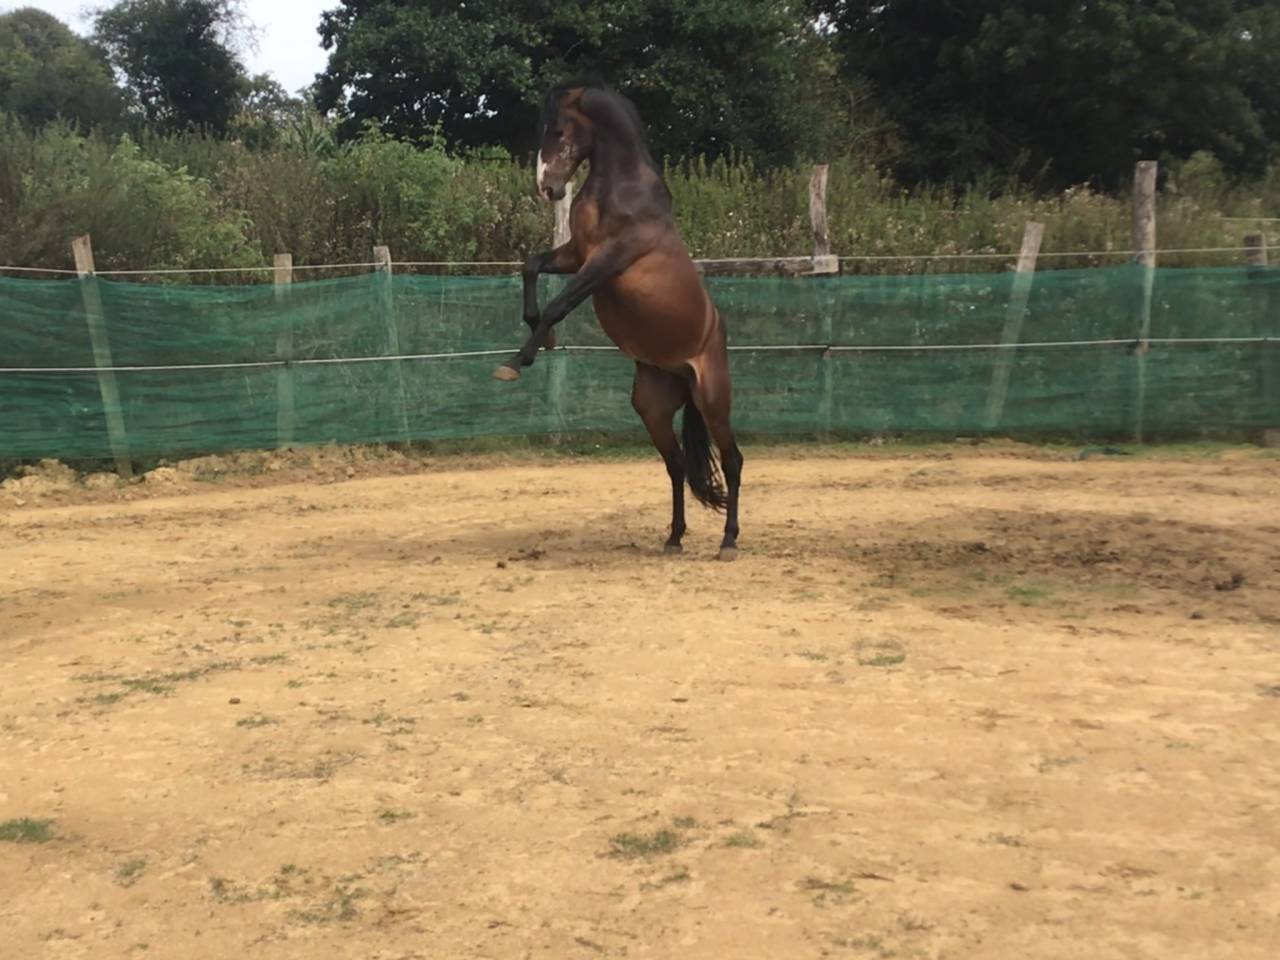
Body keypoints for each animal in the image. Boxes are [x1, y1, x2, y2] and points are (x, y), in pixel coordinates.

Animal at [493, 81, 743, 561]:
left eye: (558, 130)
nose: (547, 188)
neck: (622, 191)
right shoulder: (576, 254)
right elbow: (531, 266)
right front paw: (540, 336)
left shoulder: (605, 261)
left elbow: (560, 303)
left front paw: (518, 361)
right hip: (652, 407)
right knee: (677, 464)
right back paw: (674, 538)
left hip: (713, 399)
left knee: (733, 461)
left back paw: (728, 541)